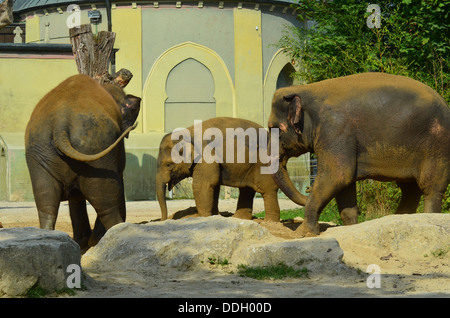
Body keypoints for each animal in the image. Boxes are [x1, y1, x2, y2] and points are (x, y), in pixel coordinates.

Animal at [25, 74, 141, 251]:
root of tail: (60, 124)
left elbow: (75, 197)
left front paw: (82, 242)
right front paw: (88, 242)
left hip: (40, 152)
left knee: (46, 202)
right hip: (95, 151)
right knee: (107, 205)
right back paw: (115, 236)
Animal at [268, 72, 448, 236]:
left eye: (274, 129)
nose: (307, 188)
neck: (308, 90)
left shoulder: (336, 130)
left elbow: (336, 175)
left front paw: (303, 233)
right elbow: (345, 186)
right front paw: (350, 227)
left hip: (437, 146)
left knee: (431, 188)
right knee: (410, 189)